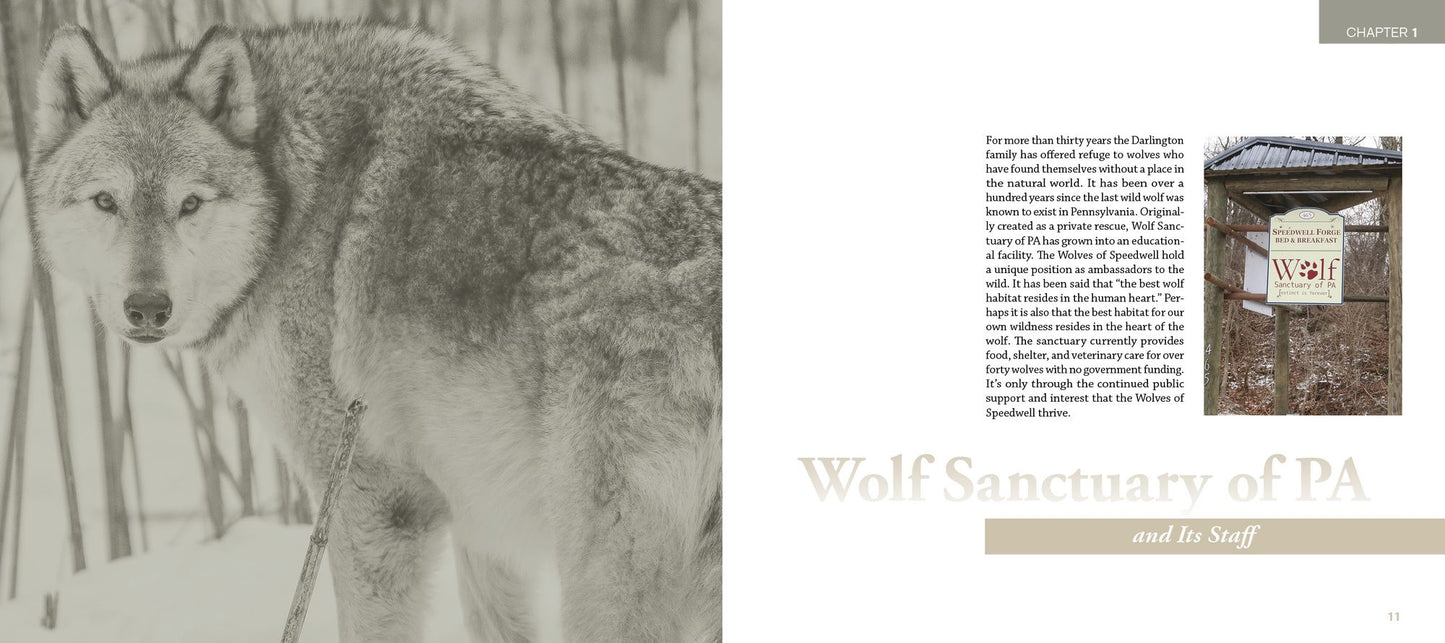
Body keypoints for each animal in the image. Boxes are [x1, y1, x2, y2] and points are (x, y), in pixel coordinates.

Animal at [27, 22, 721, 643]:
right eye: (106, 202)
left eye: (189, 204)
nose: (147, 307)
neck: (294, 211)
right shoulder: (476, 519)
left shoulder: (379, 504)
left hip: (600, 574)